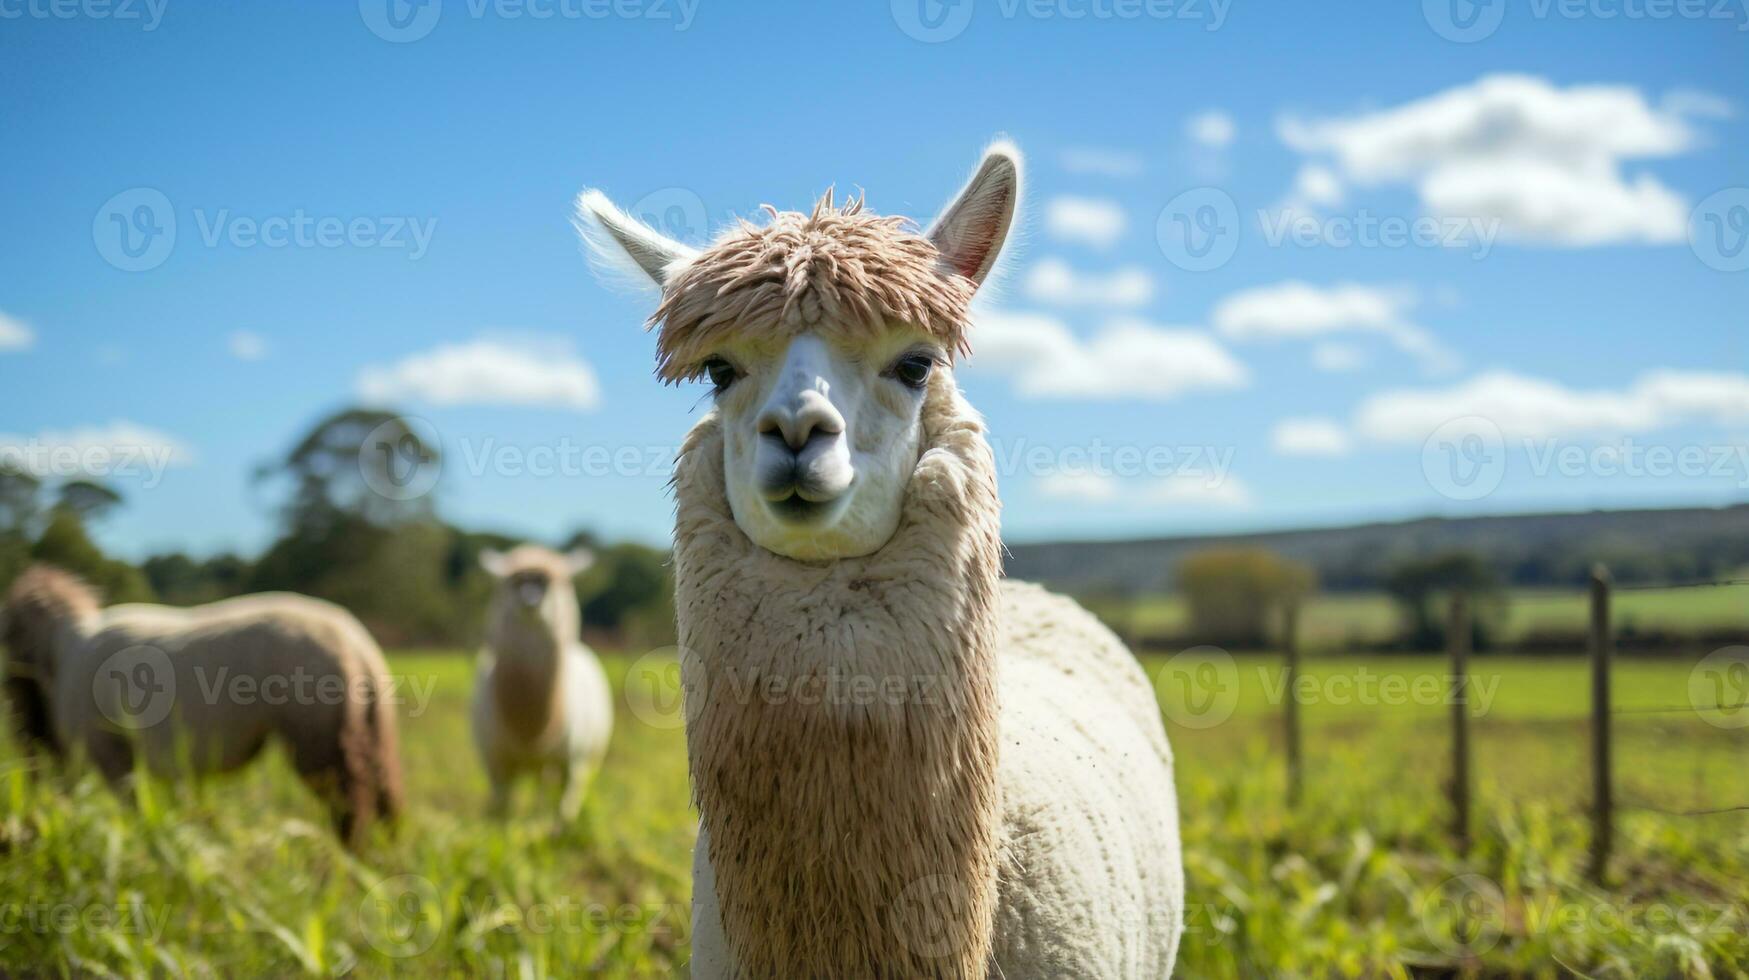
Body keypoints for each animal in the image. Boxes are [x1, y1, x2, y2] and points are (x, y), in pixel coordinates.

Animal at [1, 563, 402, 847]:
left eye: (7, 640)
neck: (61, 648)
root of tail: (358, 647)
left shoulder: (111, 754)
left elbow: (136, 811)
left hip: (320, 739)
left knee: (351, 812)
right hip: (373, 732)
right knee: (388, 806)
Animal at [472, 542, 615, 819]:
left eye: (552, 582)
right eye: (512, 581)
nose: (530, 600)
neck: (532, 733)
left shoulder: (573, 763)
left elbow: (564, 811)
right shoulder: (495, 762)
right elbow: (502, 810)